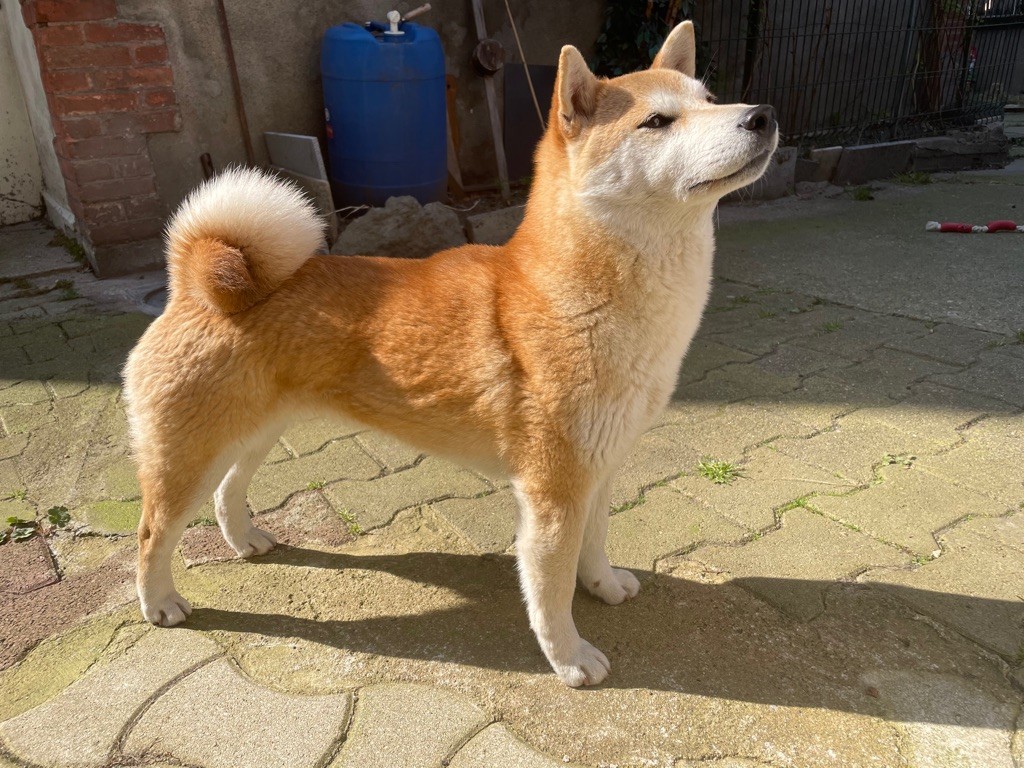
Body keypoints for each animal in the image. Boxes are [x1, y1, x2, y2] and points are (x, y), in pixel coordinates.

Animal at [123, 21, 777, 687]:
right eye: (658, 121)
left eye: (709, 99)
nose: (762, 114)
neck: (579, 297)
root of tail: (195, 280)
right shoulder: (553, 490)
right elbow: (550, 590)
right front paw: (569, 657)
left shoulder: (601, 466)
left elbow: (594, 545)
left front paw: (604, 585)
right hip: (189, 454)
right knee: (152, 533)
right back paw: (160, 603)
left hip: (257, 431)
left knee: (228, 490)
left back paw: (245, 541)